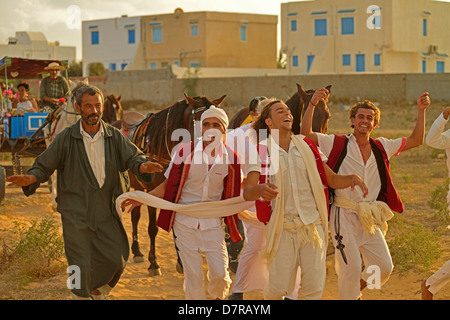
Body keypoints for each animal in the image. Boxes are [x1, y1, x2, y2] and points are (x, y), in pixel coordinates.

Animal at [123, 92, 227, 276]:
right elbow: (152, 228)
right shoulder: (152, 190)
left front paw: (181, 262)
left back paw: (137, 251)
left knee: (135, 215)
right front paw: (154, 264)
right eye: (201, 121)